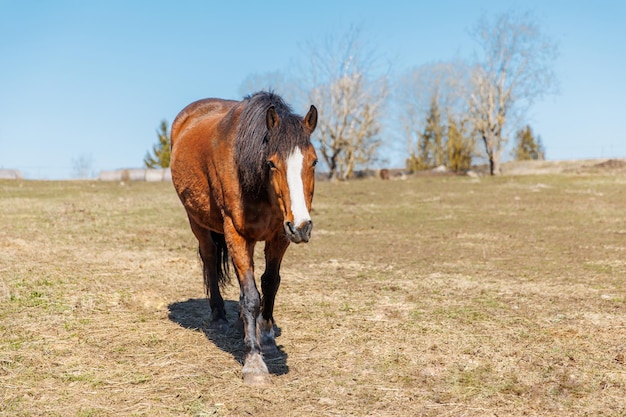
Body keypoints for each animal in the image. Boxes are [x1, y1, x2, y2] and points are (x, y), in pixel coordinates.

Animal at [168, 92, 316, 386]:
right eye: (271, 163)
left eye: (314, 161)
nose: (302, 227)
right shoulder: (235, 233)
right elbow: (251, 297)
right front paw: (254, 362)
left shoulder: (279, 235)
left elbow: (269, 285)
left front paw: (266, 337)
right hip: (197, 222)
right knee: (210, 260)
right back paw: (219, 317)